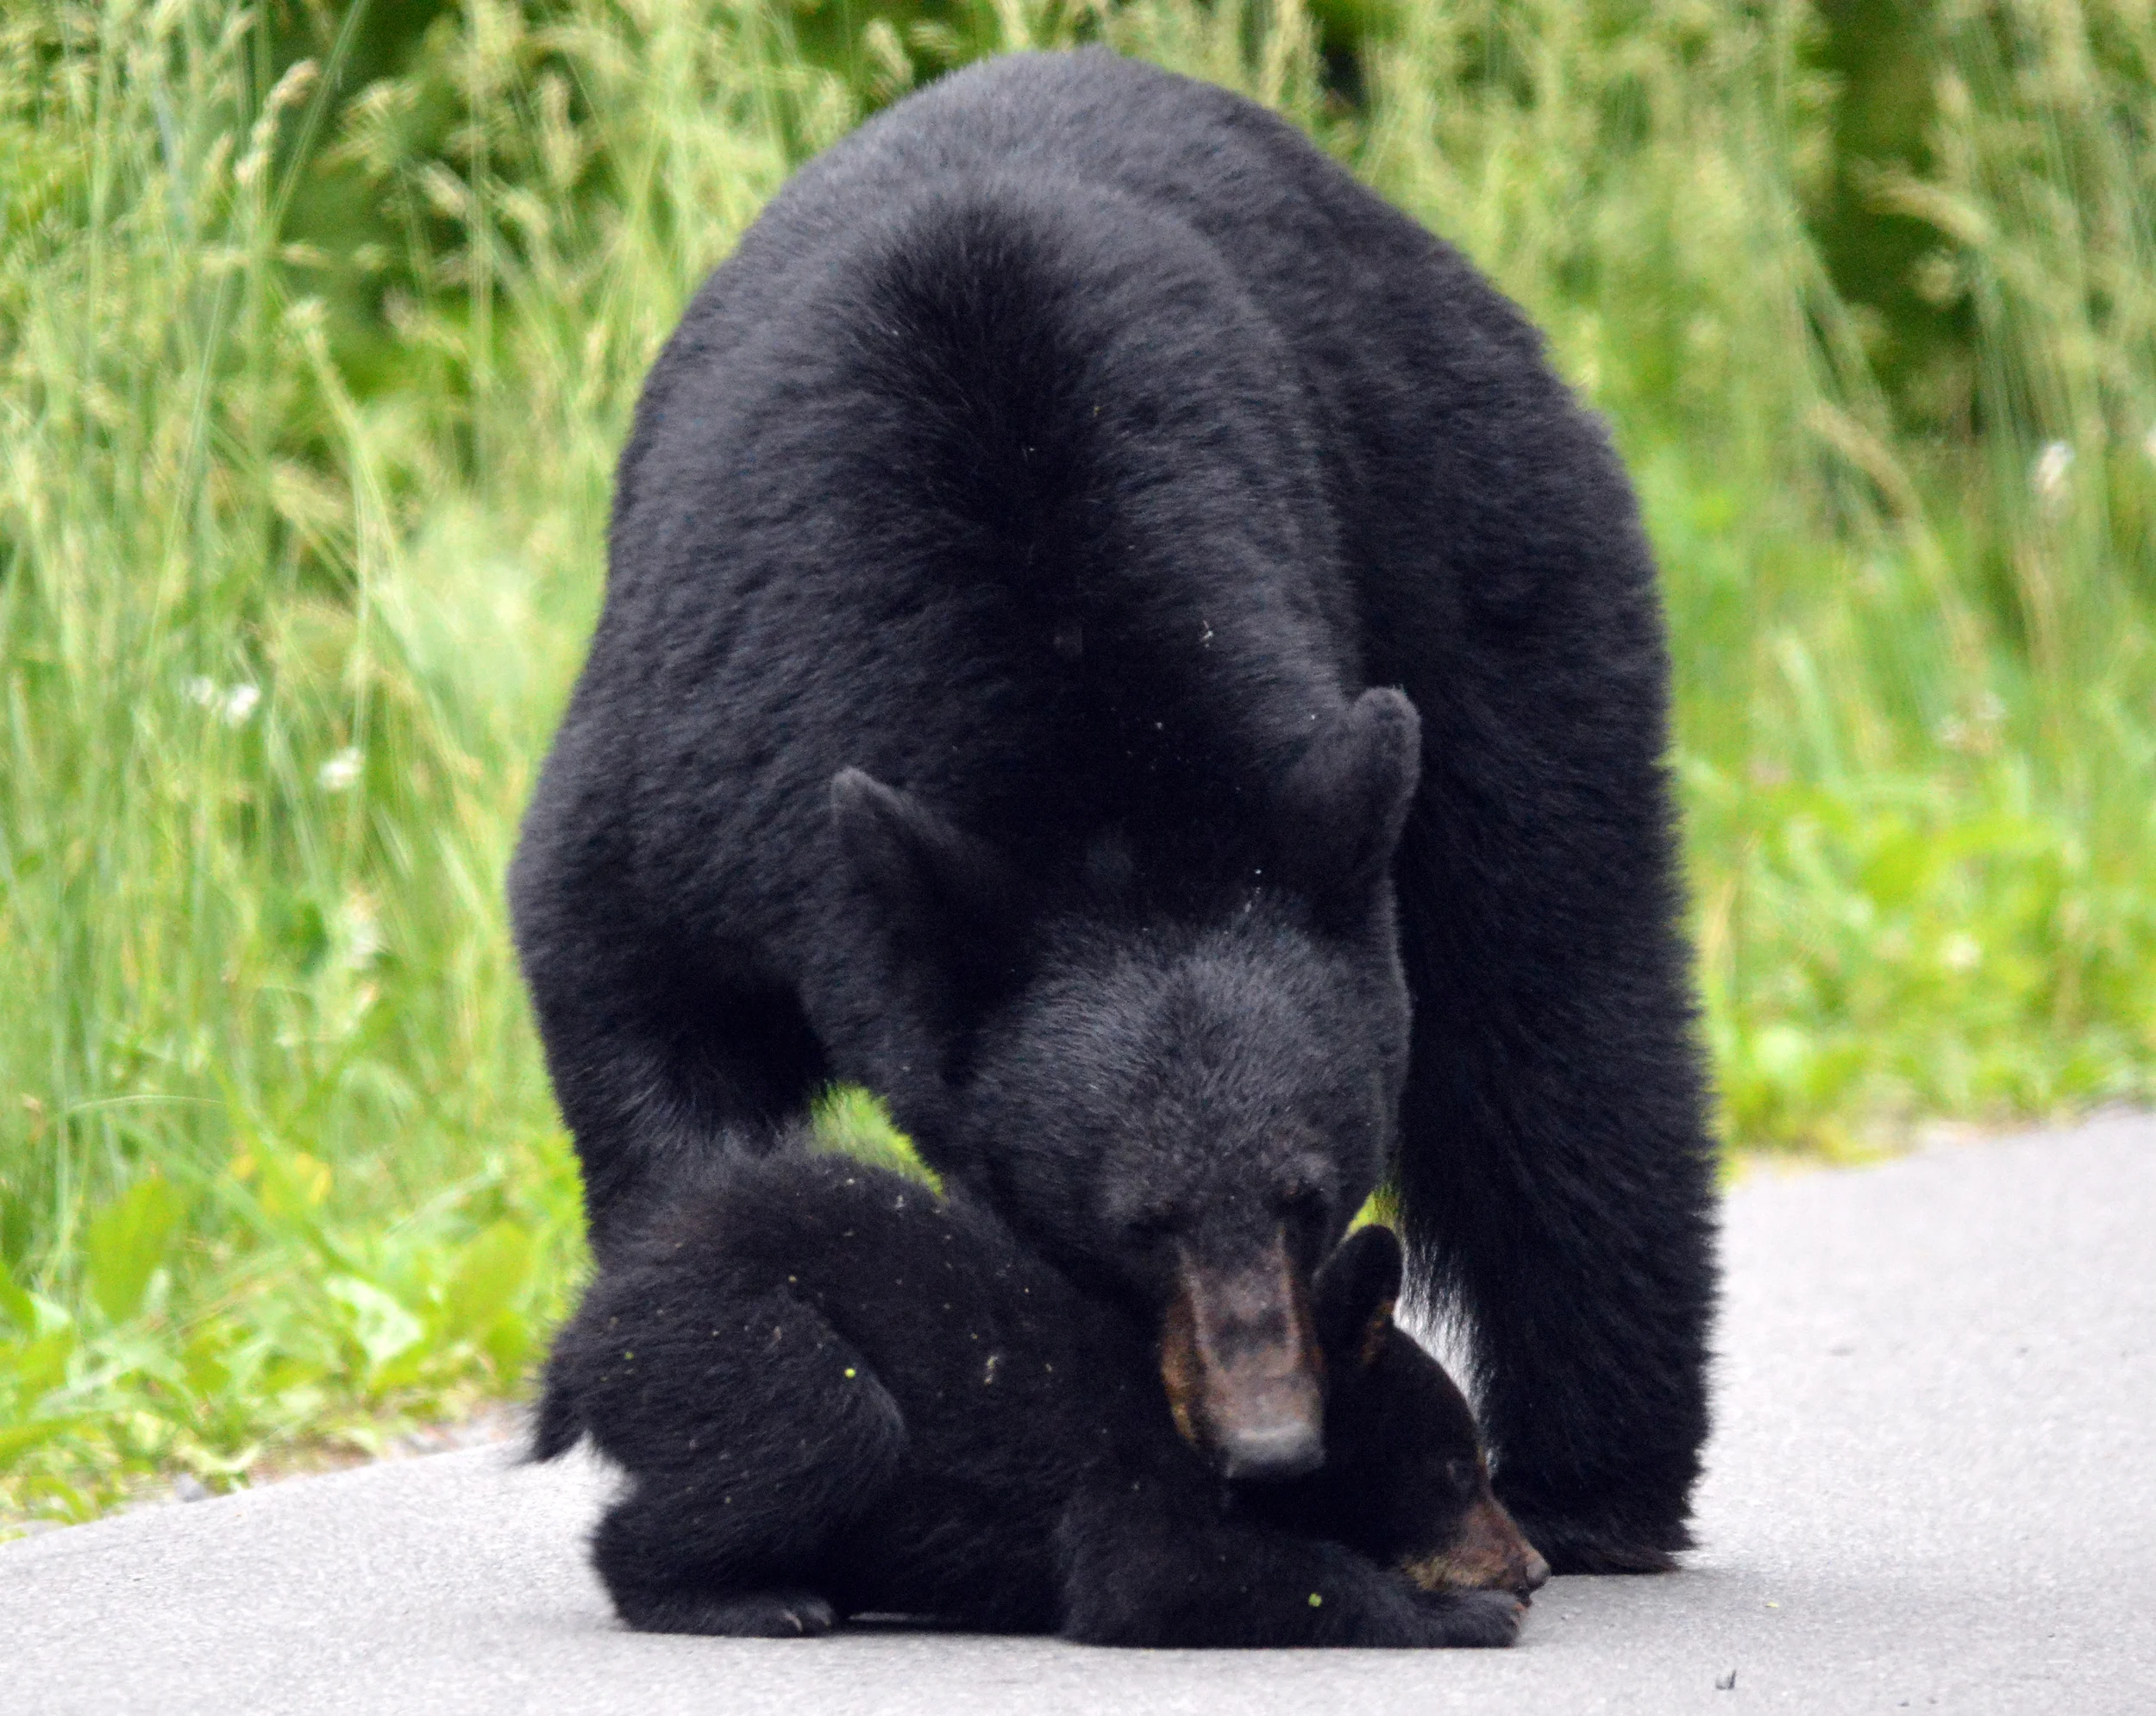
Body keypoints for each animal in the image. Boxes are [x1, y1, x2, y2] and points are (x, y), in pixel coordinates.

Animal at [509, 47, 1717, 1571]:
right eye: (1138, 1220)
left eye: (1309, 1192)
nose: (1276, 1441)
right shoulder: (709, 741)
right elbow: (636, 991)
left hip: (1499, 566)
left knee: (1557, 1018)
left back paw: (1597, 1480)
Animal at [532, 1147, 1547, 1646]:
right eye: (1456, 1472)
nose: (1533, 1566)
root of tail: (581, 1331)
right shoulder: (1125, 1468)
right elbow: (1152, 1577)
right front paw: (1454, 1614)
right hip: (726, 1334)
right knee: (829, 1426)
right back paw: (743, 1602)